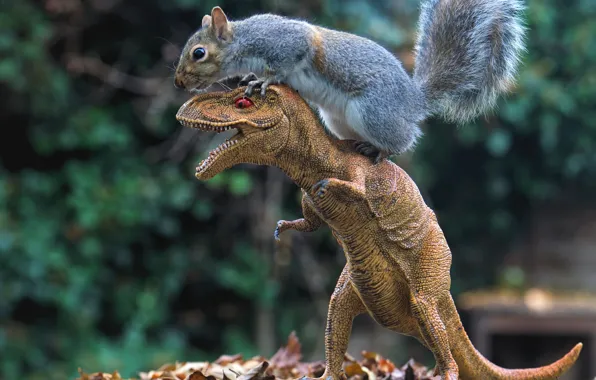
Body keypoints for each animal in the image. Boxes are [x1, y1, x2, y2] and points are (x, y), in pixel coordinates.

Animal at [173, 0, 528, 162]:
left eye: (199, 53)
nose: (178, 83)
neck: (244, 42)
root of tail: (413, 101)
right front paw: (251, 76)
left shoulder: (286, 41)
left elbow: (288, 60)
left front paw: (264, 80)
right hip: (339, 119)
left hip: (373, 111)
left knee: (406, 138)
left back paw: (382, 150)